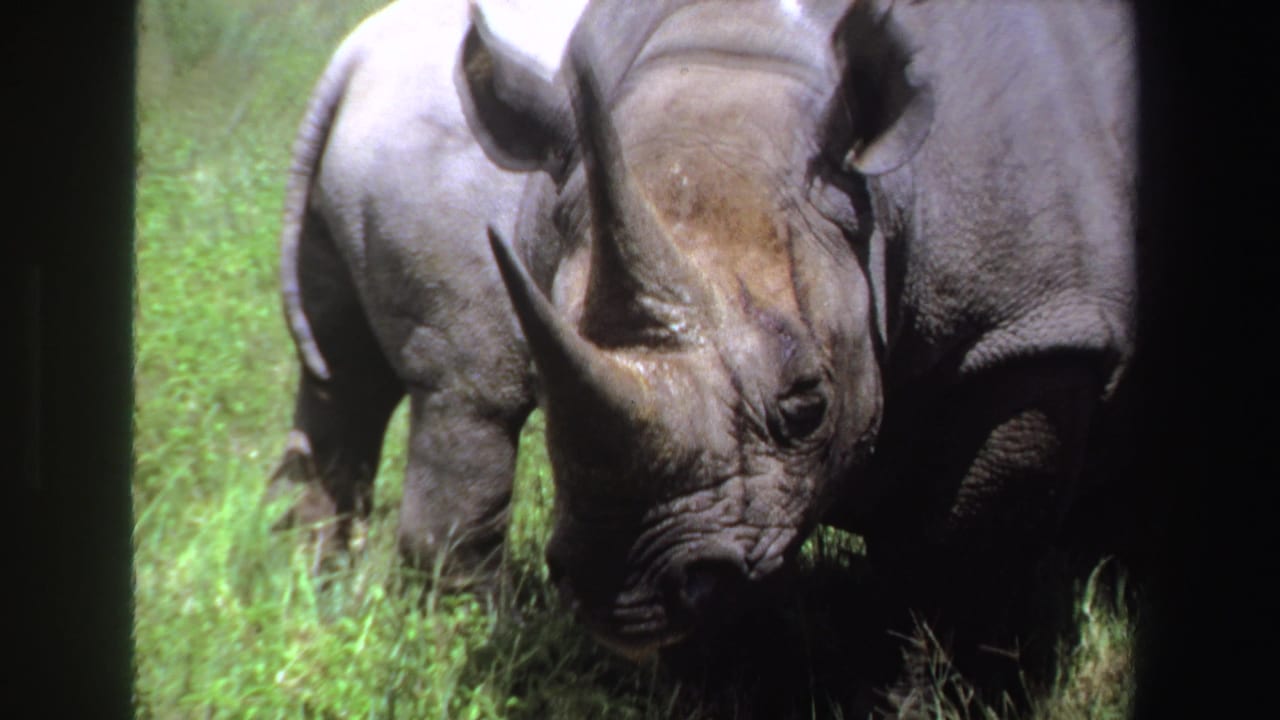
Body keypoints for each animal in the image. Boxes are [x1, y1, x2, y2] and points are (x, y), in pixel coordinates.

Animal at [462, 0, 1136, 671]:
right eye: (544, 393)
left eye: (808, 406)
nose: (620, 595)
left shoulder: (1027, 330)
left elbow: (960, 556)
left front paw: (942, 681)